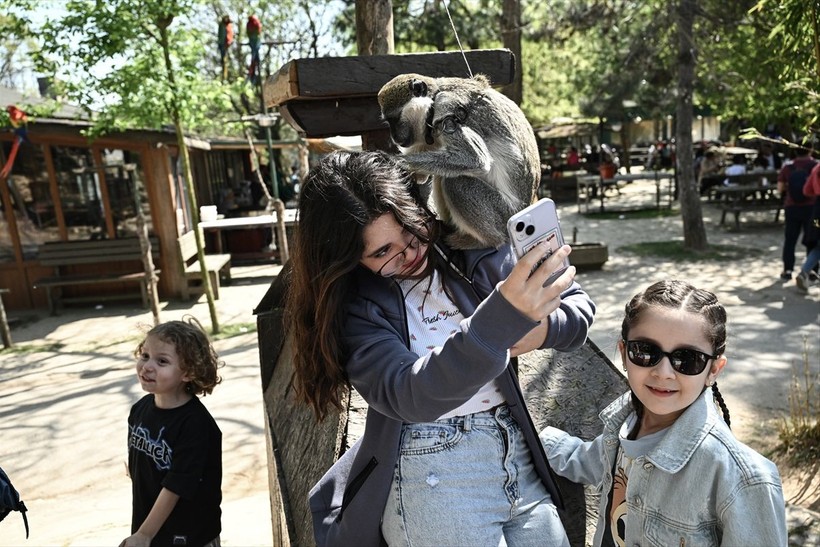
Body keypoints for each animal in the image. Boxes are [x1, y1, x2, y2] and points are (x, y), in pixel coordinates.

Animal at [380, 73, 544, 250]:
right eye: (388, 121)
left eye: (395, 119)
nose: (394, 137)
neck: (432, 98)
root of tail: (528, 205)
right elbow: (422, 175)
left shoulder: (446, 110)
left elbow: (475, 158)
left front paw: (395, 160)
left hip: (505, 214)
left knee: (456, 182)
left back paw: (486, 241)